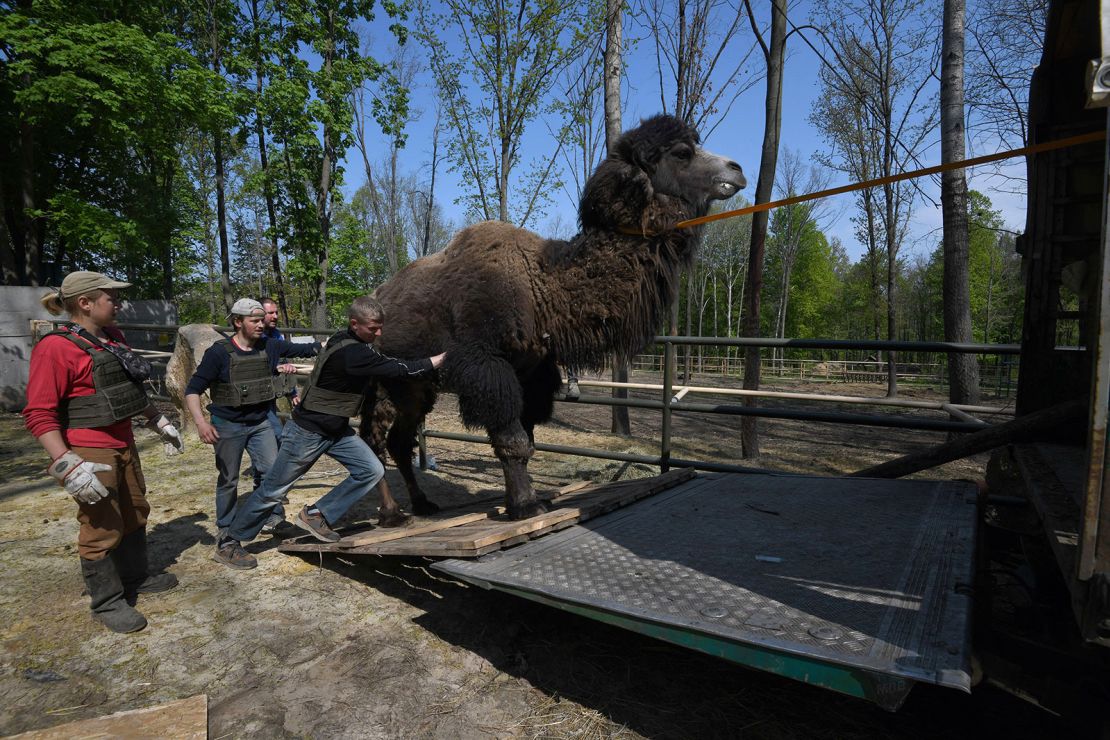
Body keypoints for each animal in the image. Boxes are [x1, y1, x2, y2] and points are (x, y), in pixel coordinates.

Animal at [366, 114, 745, 521]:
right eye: (681, 152)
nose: (737, 170)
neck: (543, 286)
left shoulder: (534, 374)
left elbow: (529, 440)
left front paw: (525, 500)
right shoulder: (487, 367)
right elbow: (513, 440)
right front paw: (526, 506)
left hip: (415, 388)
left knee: (398, 441)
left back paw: (421, 504)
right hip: (383, 383)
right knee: (373, 440)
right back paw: (390, 513)